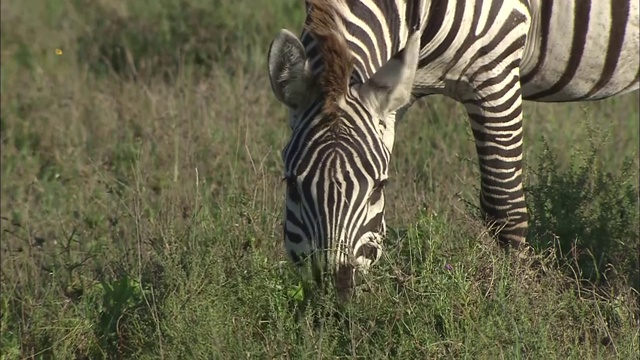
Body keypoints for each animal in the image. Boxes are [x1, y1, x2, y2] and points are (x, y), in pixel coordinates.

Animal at [264, 0, 636, 298]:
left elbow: (504, 208)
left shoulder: (495, 69)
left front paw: (519, 305)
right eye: (291, 185)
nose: (334, 291)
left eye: (378, 188)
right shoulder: (399, 88)